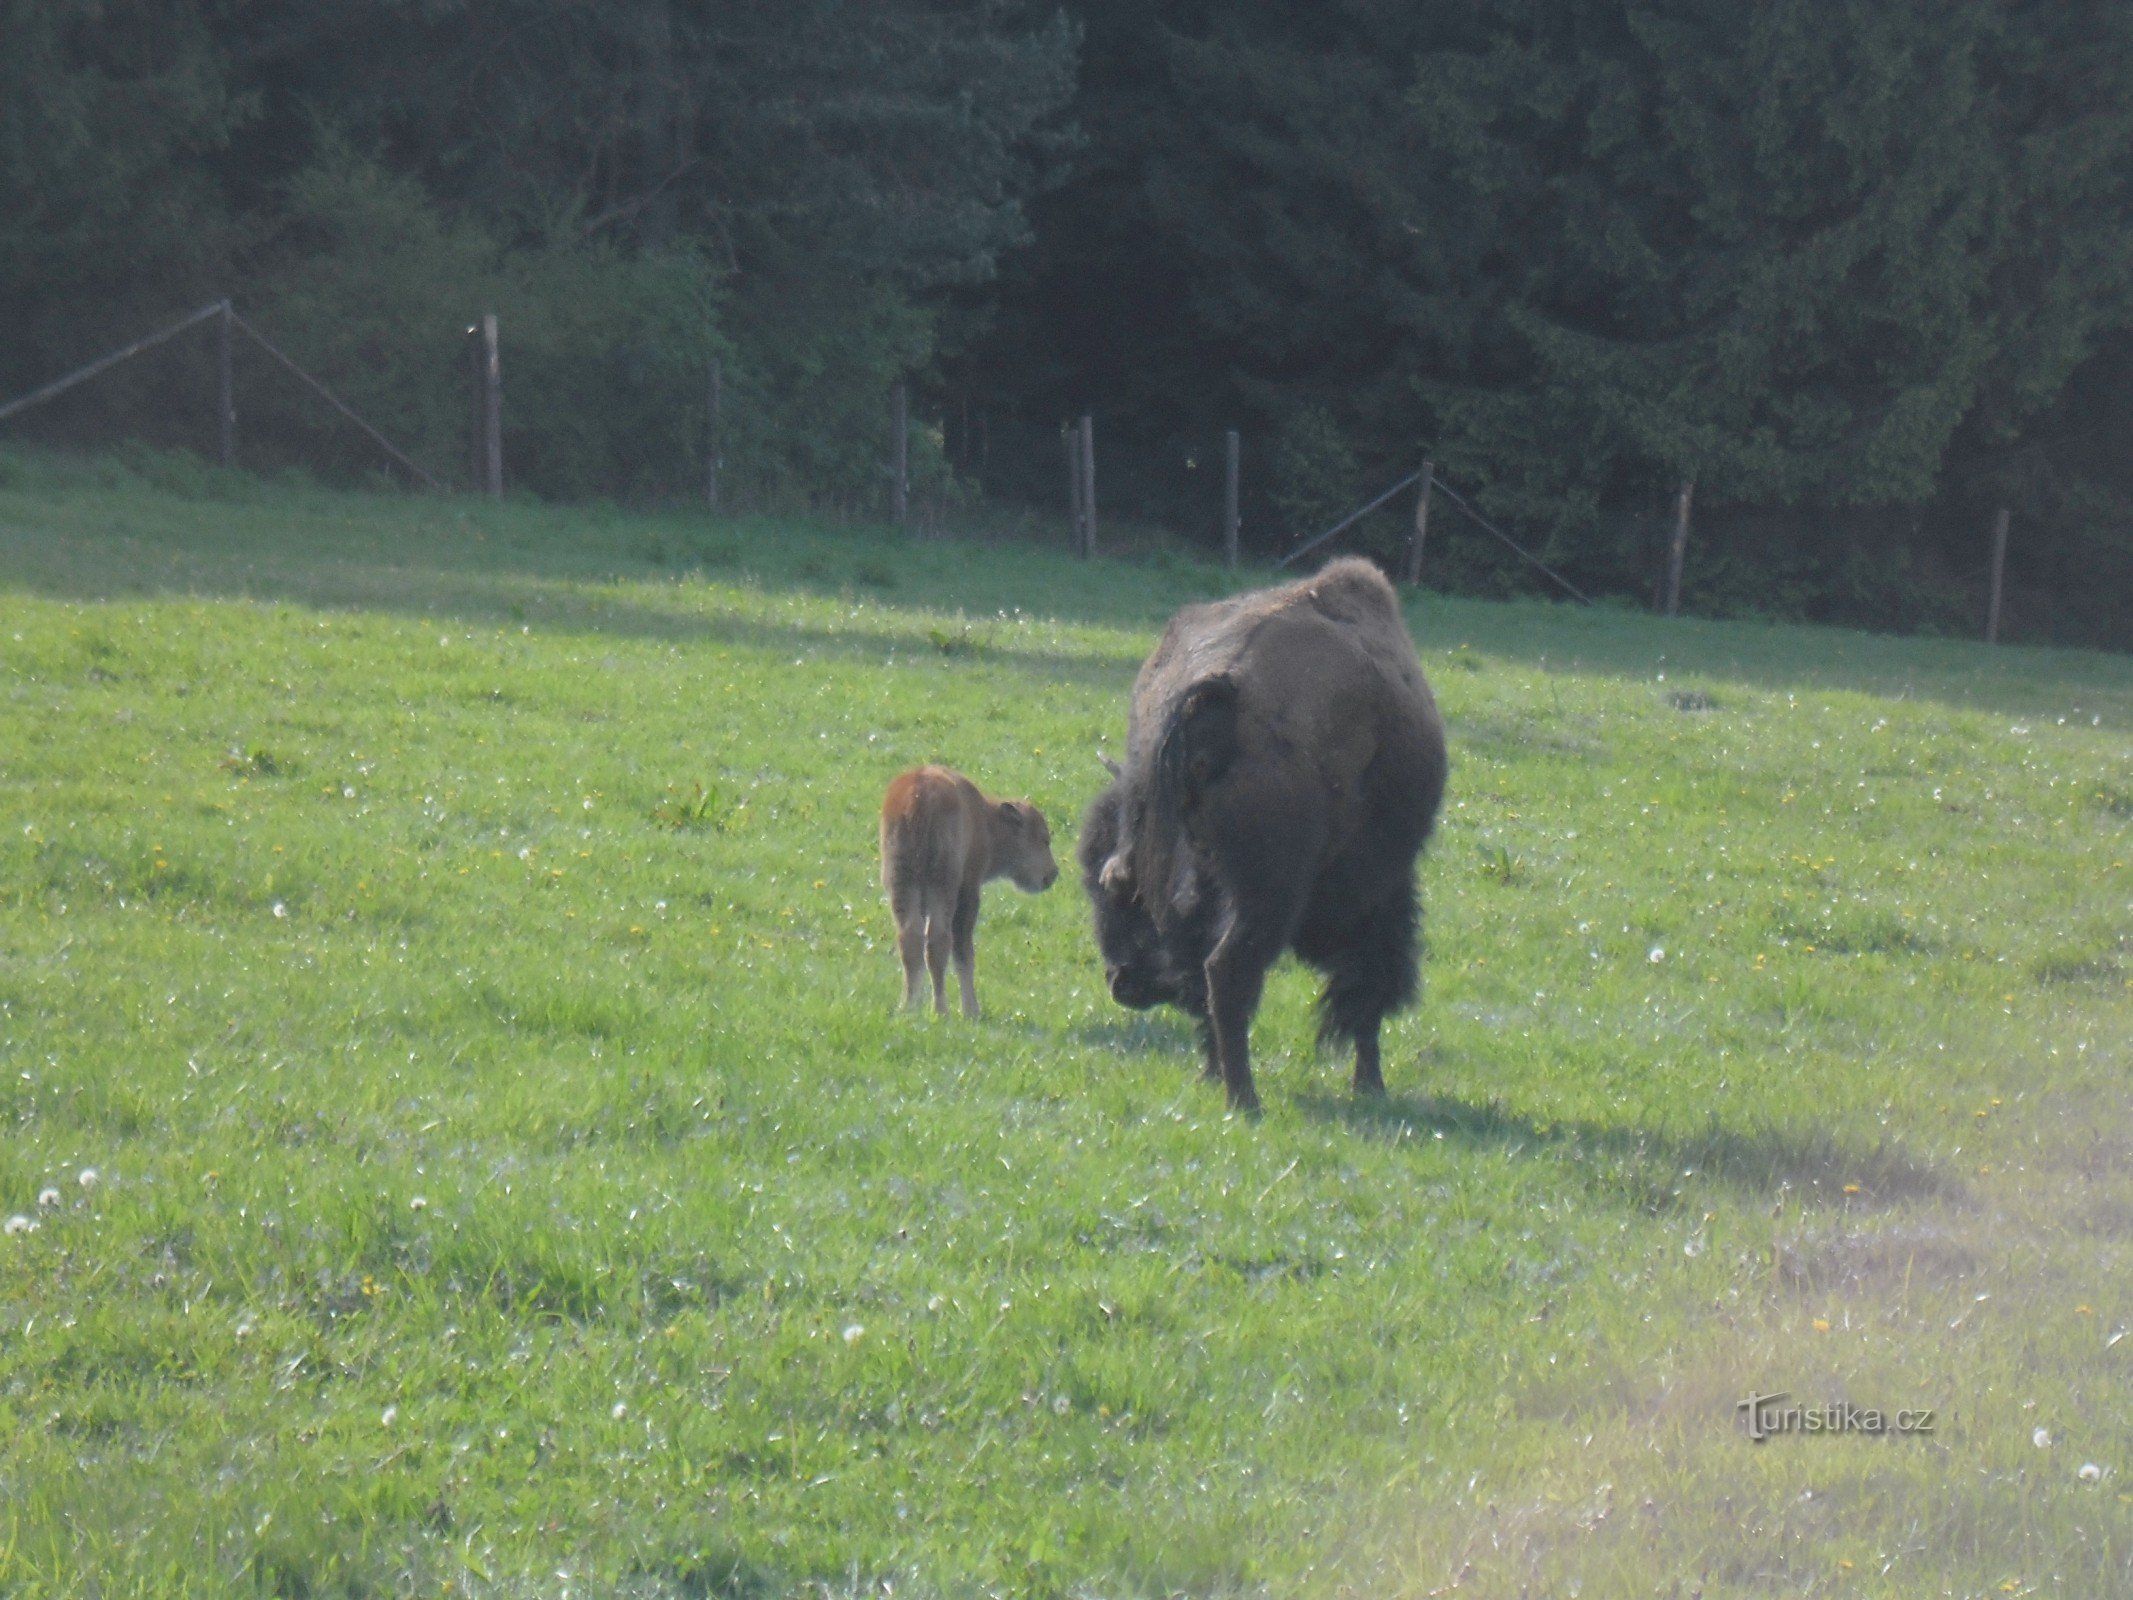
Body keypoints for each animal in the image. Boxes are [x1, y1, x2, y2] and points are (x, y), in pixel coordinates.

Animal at [874, 772, 1057, 1019]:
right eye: (1043, 839)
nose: (1052, 874)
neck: (986, 820)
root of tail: (917, 798)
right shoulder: (969, 893)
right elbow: (964, 952)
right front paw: (971, 1010)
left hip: (901, 884)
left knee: (909, 938)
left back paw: (908, 1007)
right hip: (944, 887)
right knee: (939, 941)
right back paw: (941, 1010)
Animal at [1083, 558, 1450, 1117]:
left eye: (1118, 895)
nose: (1120, 981)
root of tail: (1213, 692)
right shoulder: (1381, 893)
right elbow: (1367, 986)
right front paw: (1370, 1084)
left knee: (1209, 977)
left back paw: (1221, 1080)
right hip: (1270, 894)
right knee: (1229, 972)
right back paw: (1246, 1101)